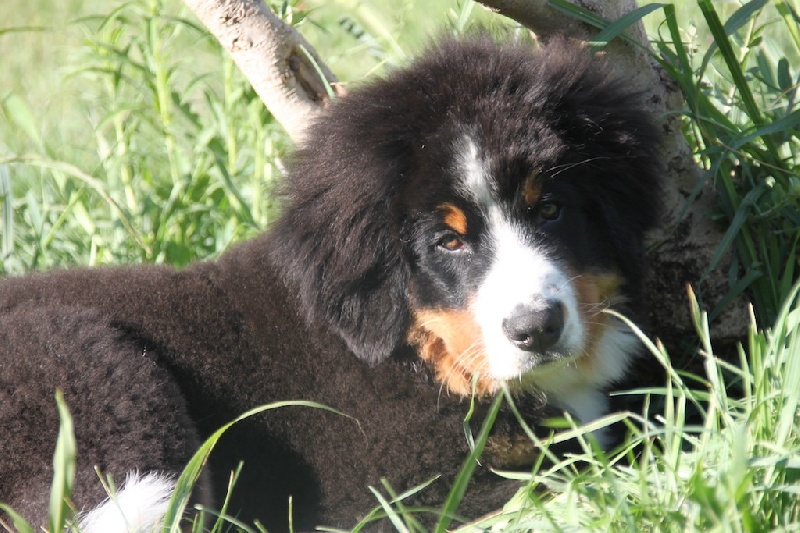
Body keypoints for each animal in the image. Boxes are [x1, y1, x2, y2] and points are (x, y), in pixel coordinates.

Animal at [0, 36, 664, 528]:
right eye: (448, 242)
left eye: (549, 209)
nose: (536, 328)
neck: (416, 357)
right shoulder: (413, 488)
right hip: (91, 372)